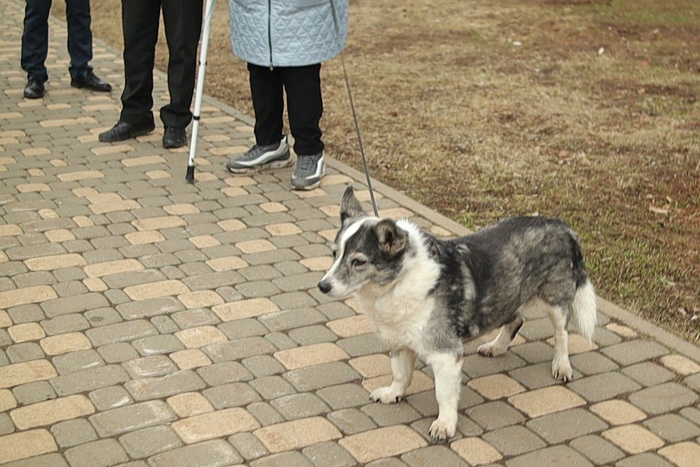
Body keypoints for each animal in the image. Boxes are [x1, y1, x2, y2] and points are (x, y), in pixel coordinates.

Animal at [318, 186, 596, 442]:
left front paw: (444, 425)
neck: (398, 281)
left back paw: (561, 365)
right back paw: (496, 347)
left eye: (358, 261)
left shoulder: (446, 355)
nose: (323, 286)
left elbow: (444, 394)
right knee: (515, 319)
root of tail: (564, 227)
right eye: (334, 254)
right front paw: (392, 393)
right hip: (510, 293)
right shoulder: (400, 343)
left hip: (556, 300)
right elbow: (400, 374)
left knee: (561, 334)